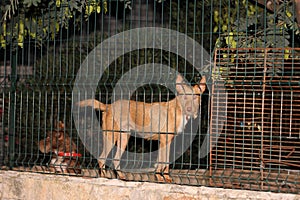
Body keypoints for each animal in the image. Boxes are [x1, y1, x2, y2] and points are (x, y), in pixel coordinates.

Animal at [77, 74, 206, 182]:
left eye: (195, 98)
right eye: (184, 98)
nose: (190, 109)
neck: (178, 110)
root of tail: (109, 106)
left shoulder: (165, 142)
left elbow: (163, 163)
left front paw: (164, 177)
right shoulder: (165, 141)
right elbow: (164, 162)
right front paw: (162, 178)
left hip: (124, 139)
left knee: (115, 159)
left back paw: (121, 177)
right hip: (111, 137)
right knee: (101, 158)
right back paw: (103, 177)